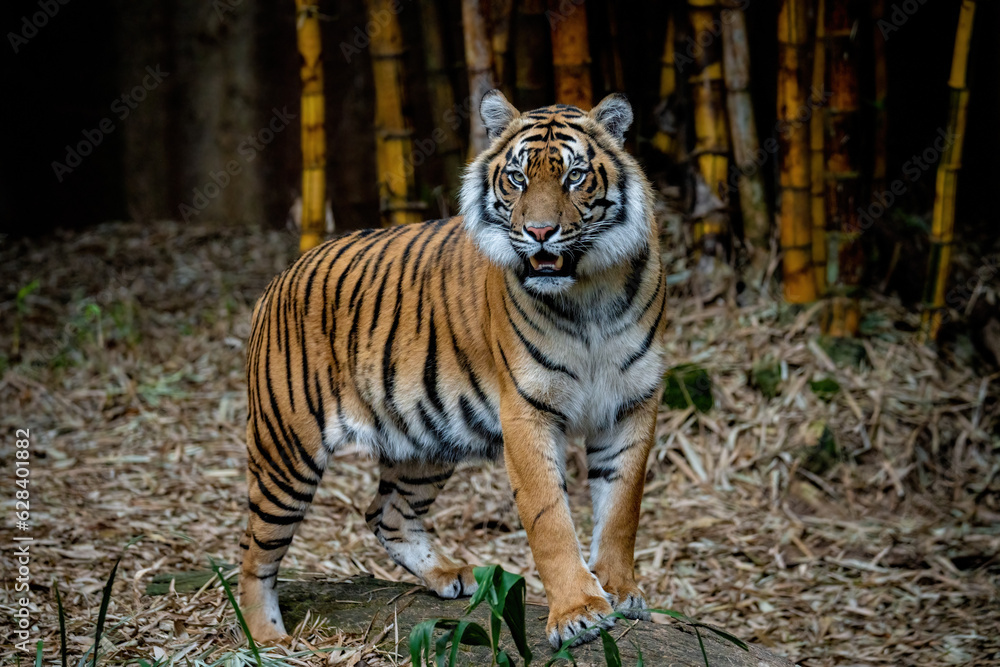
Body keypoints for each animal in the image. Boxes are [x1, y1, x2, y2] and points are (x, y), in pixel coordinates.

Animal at [239, 90, 667, 649]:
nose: (540, 233)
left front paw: (620, 591)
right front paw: (578, 612)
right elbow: (550, 518)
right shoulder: (526, 411)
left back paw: (448, 575)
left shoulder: (633, 404)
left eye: (575, 176)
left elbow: (621, 508)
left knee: (386, 514)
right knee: (254, 555)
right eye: (517, 178)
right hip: (287, 452)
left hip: (425, 439)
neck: (588, 293)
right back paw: (266, 640)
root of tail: (277, 280)